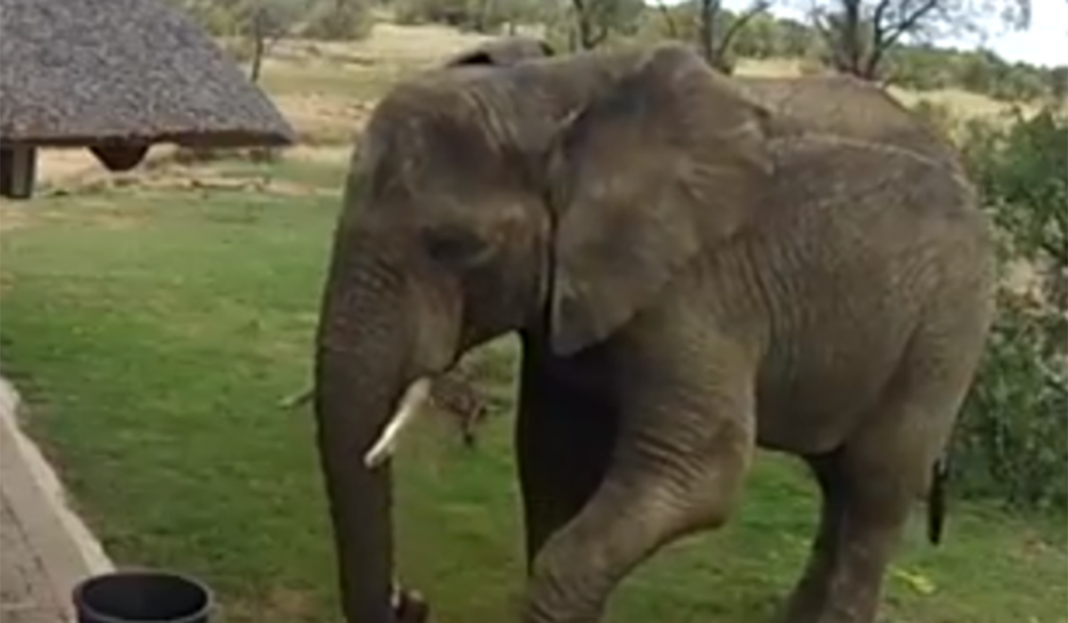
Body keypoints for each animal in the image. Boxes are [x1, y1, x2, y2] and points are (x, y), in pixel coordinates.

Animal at [310, 39, 996, 623]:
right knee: (839, 482)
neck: (549, 94)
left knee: (878, 483)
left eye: (457, 246)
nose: (410, 600)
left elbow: (701, 474)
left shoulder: (696, 290)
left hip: (949, 326)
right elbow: (552, 455)